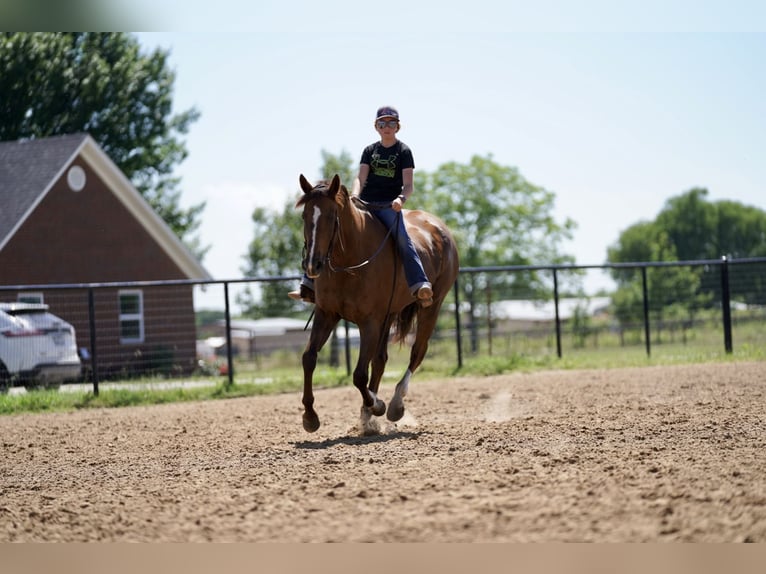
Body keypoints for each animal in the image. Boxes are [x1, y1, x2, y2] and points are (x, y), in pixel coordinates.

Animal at [296, 173, 460, 434]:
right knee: (381, 360)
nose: (313, 265)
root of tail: (440, 228)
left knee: (417, 352)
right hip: (390, 314)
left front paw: (377, 404)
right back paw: (368, 417)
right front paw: (310, 416)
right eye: (305, 216)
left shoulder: (370, 322)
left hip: (431, 307)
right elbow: (309, 358)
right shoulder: (326, 313)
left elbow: (359, 375)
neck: (350, 263)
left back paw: (394, 404)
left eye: (332, 216)